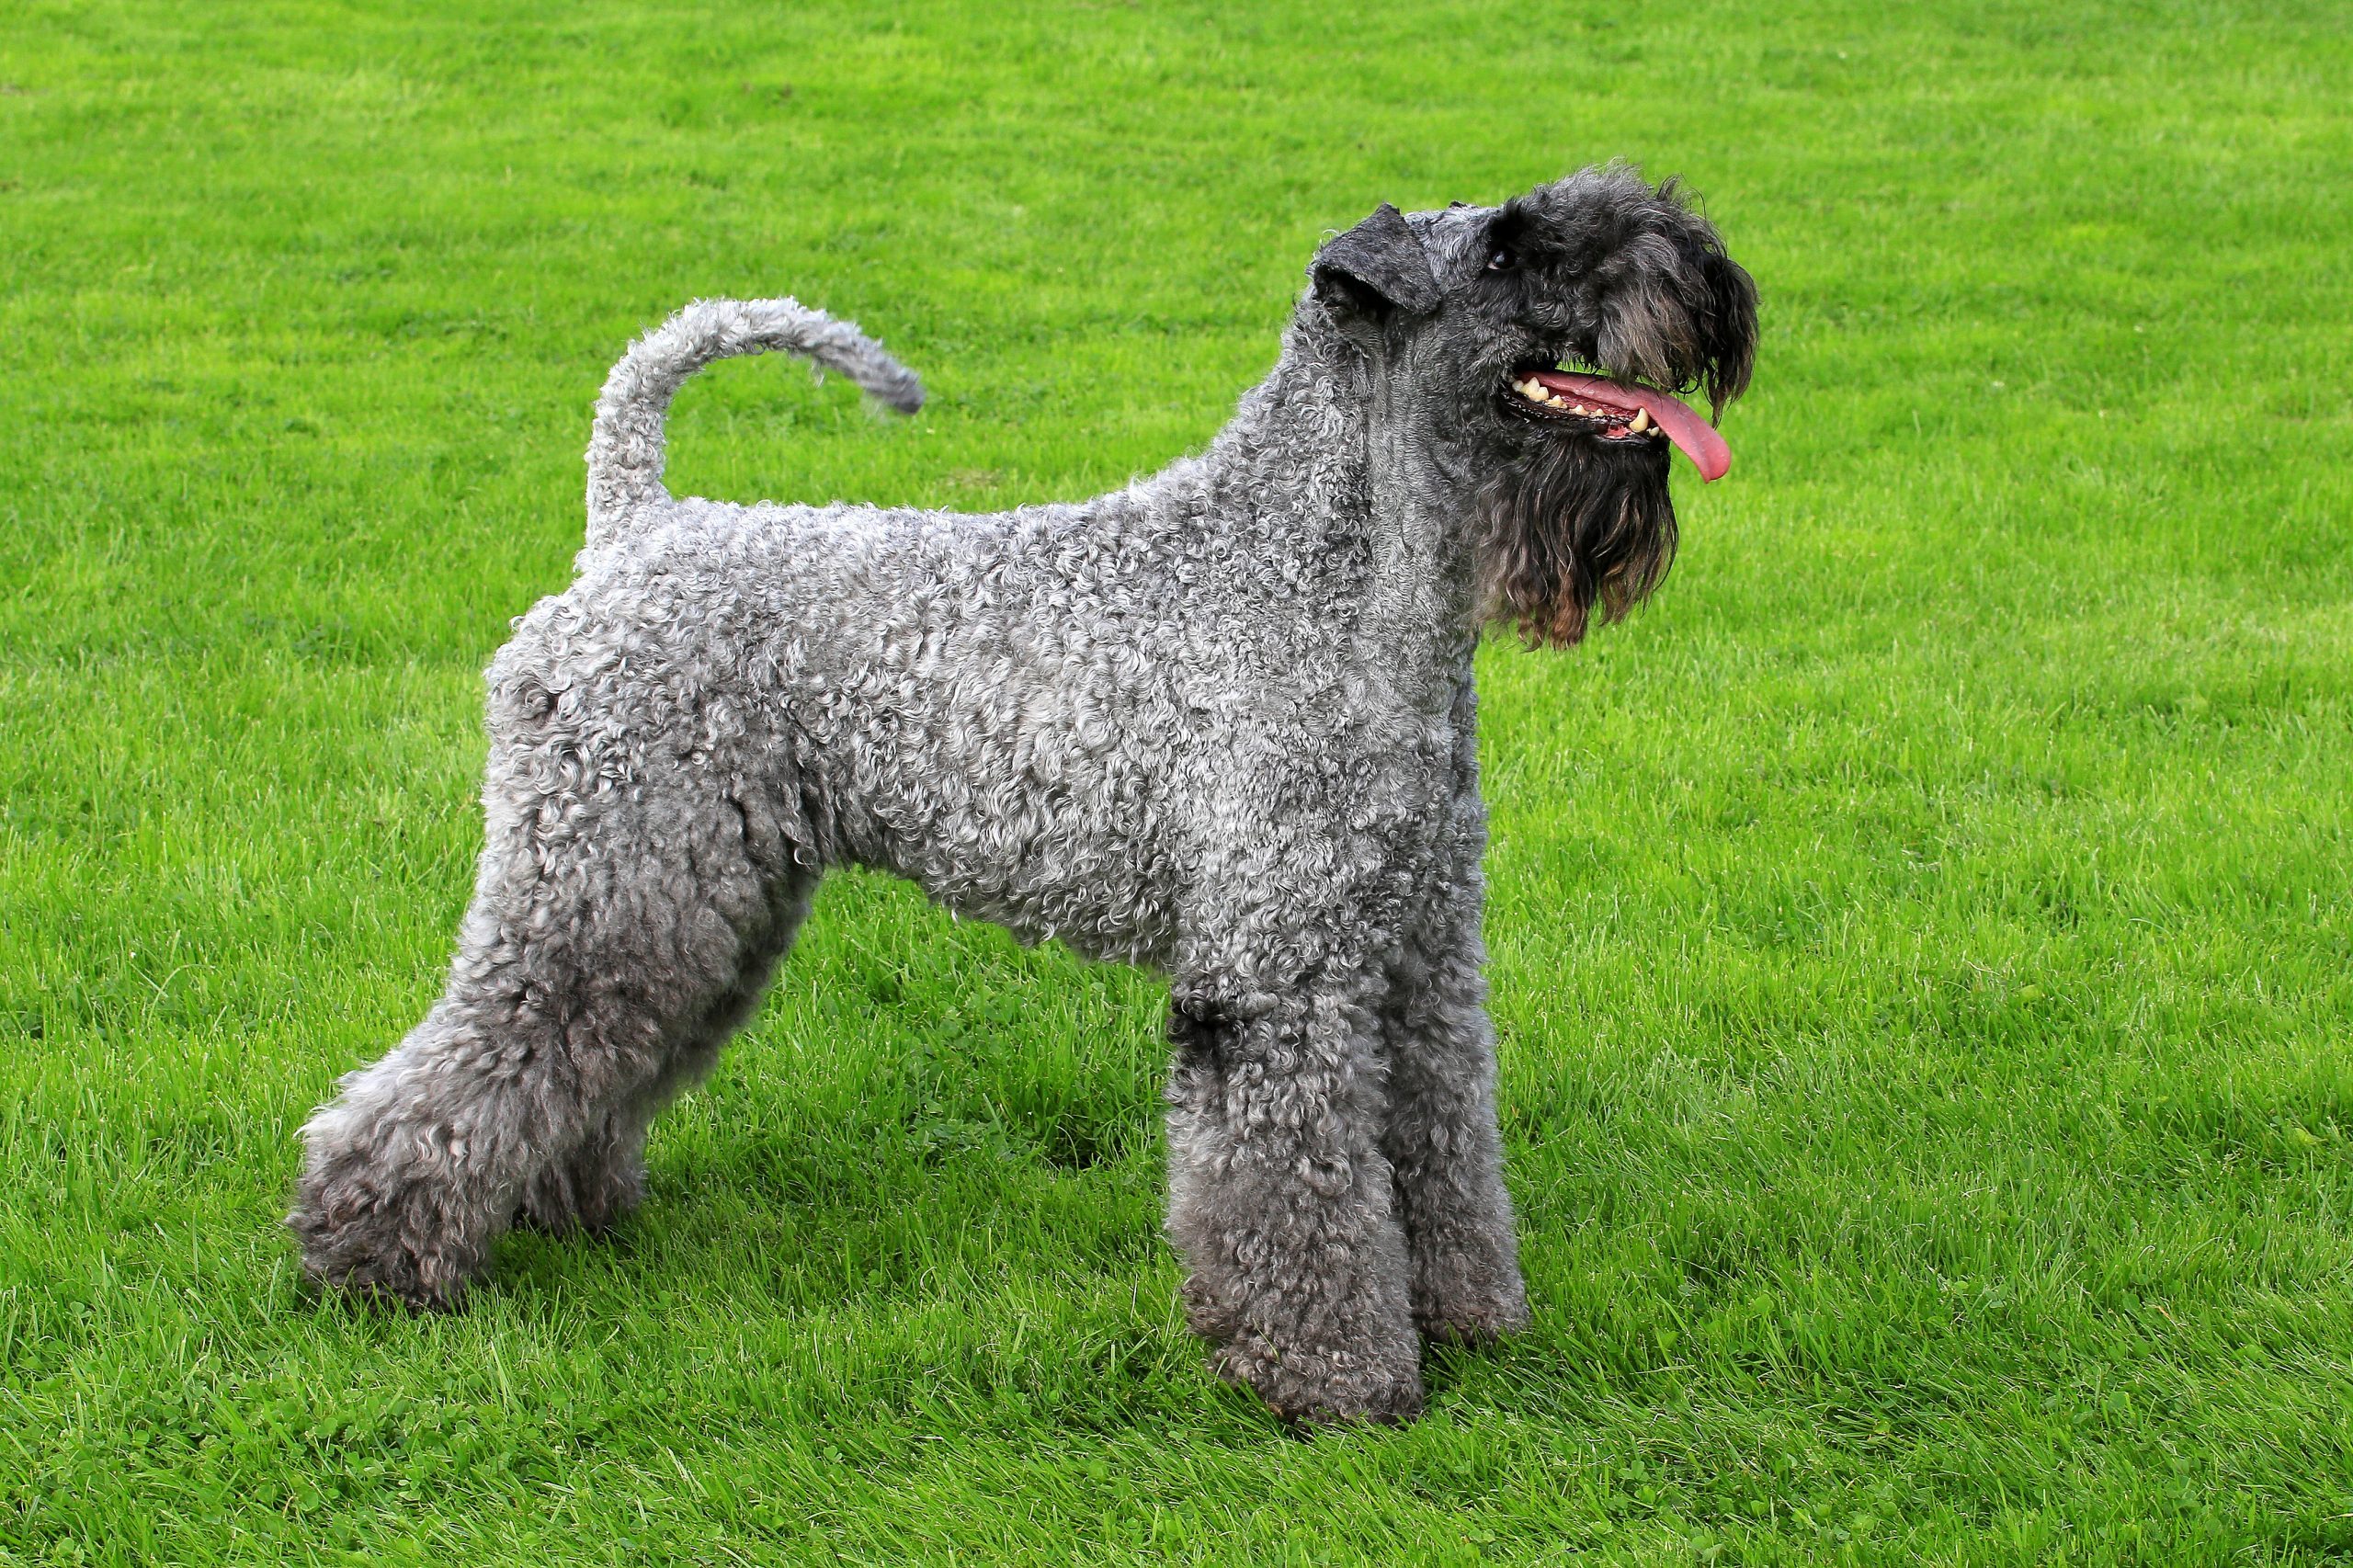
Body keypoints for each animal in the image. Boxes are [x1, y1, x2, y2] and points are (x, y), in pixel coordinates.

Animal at [289, 165, 1750, 1422]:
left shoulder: (1422, 957)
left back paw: (563, 1210)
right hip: (605, 885)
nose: (1710, 276)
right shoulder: (1274, 976)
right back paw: (367, 1258)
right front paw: (1338, 1381)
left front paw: (1471, 1324)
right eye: (1507, 247)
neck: (1315, 580)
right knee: (469, 1060)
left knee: (593, 1057)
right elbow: (1302, 1194)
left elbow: (1444, 1151)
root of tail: (635, 527)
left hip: (704, 899)